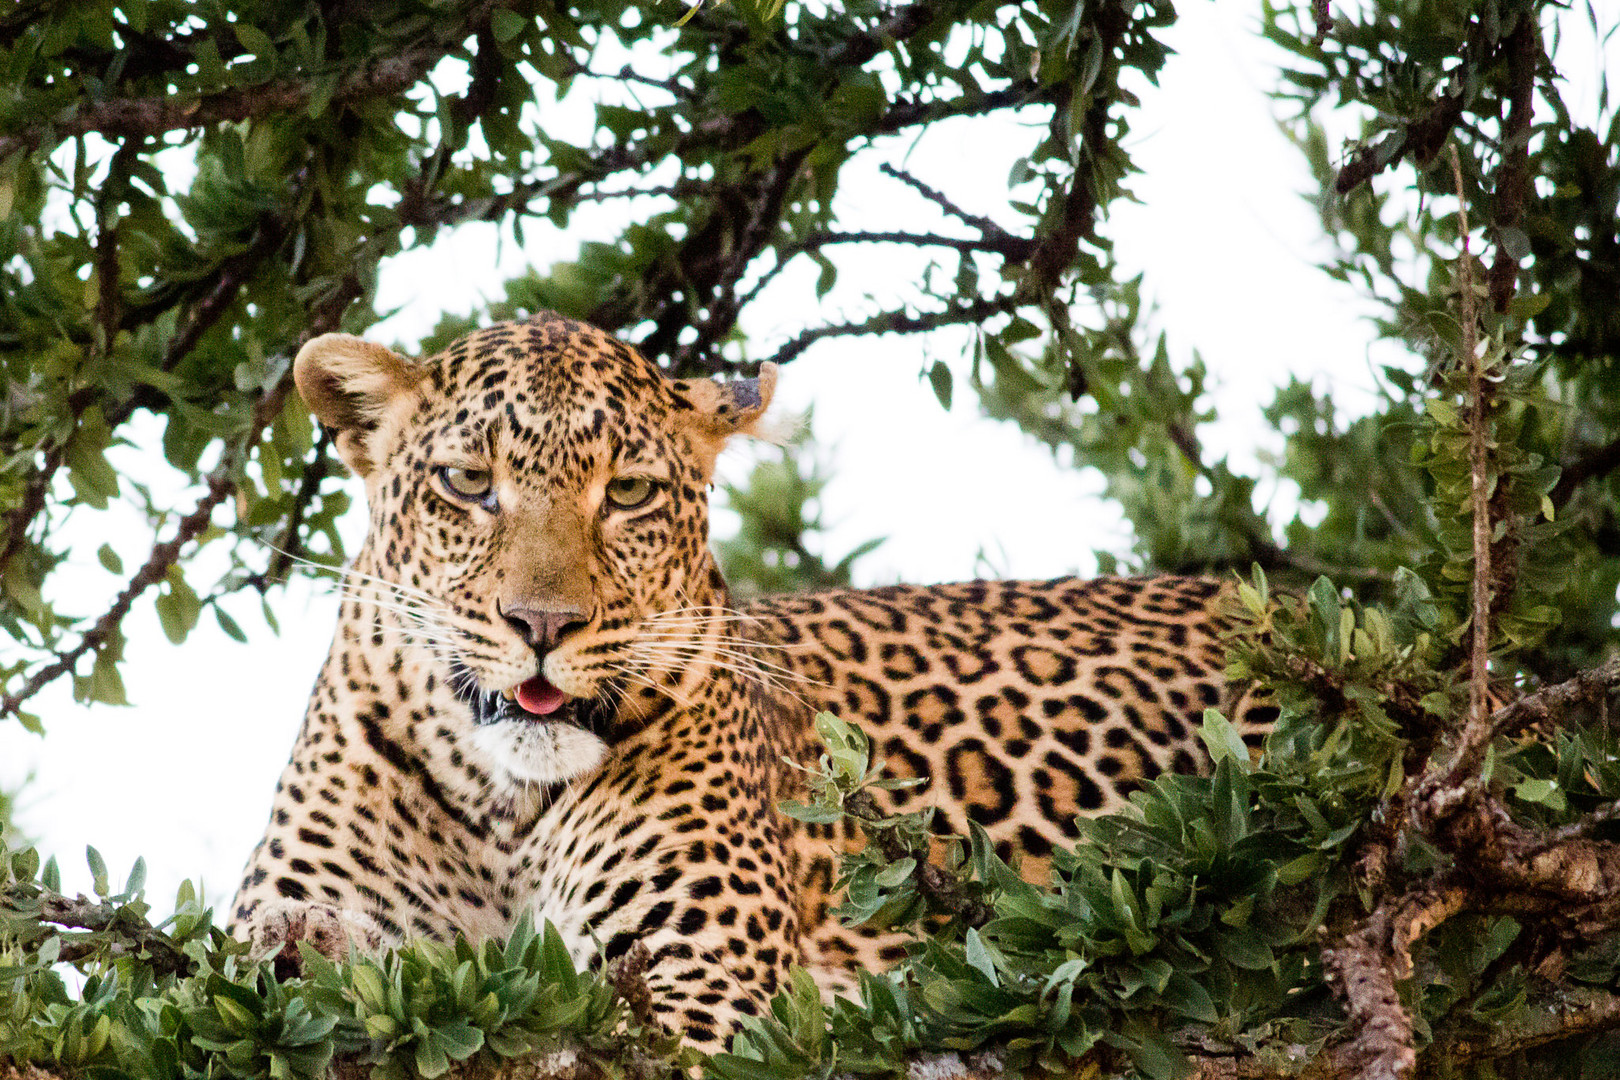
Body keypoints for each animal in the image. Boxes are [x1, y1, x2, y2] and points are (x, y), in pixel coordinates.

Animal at [234, 307, 1276, 1049]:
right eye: (467, 483)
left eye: (628, 493)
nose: (543, 625)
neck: (504, 804)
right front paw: (306, 945)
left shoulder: (710, 992)